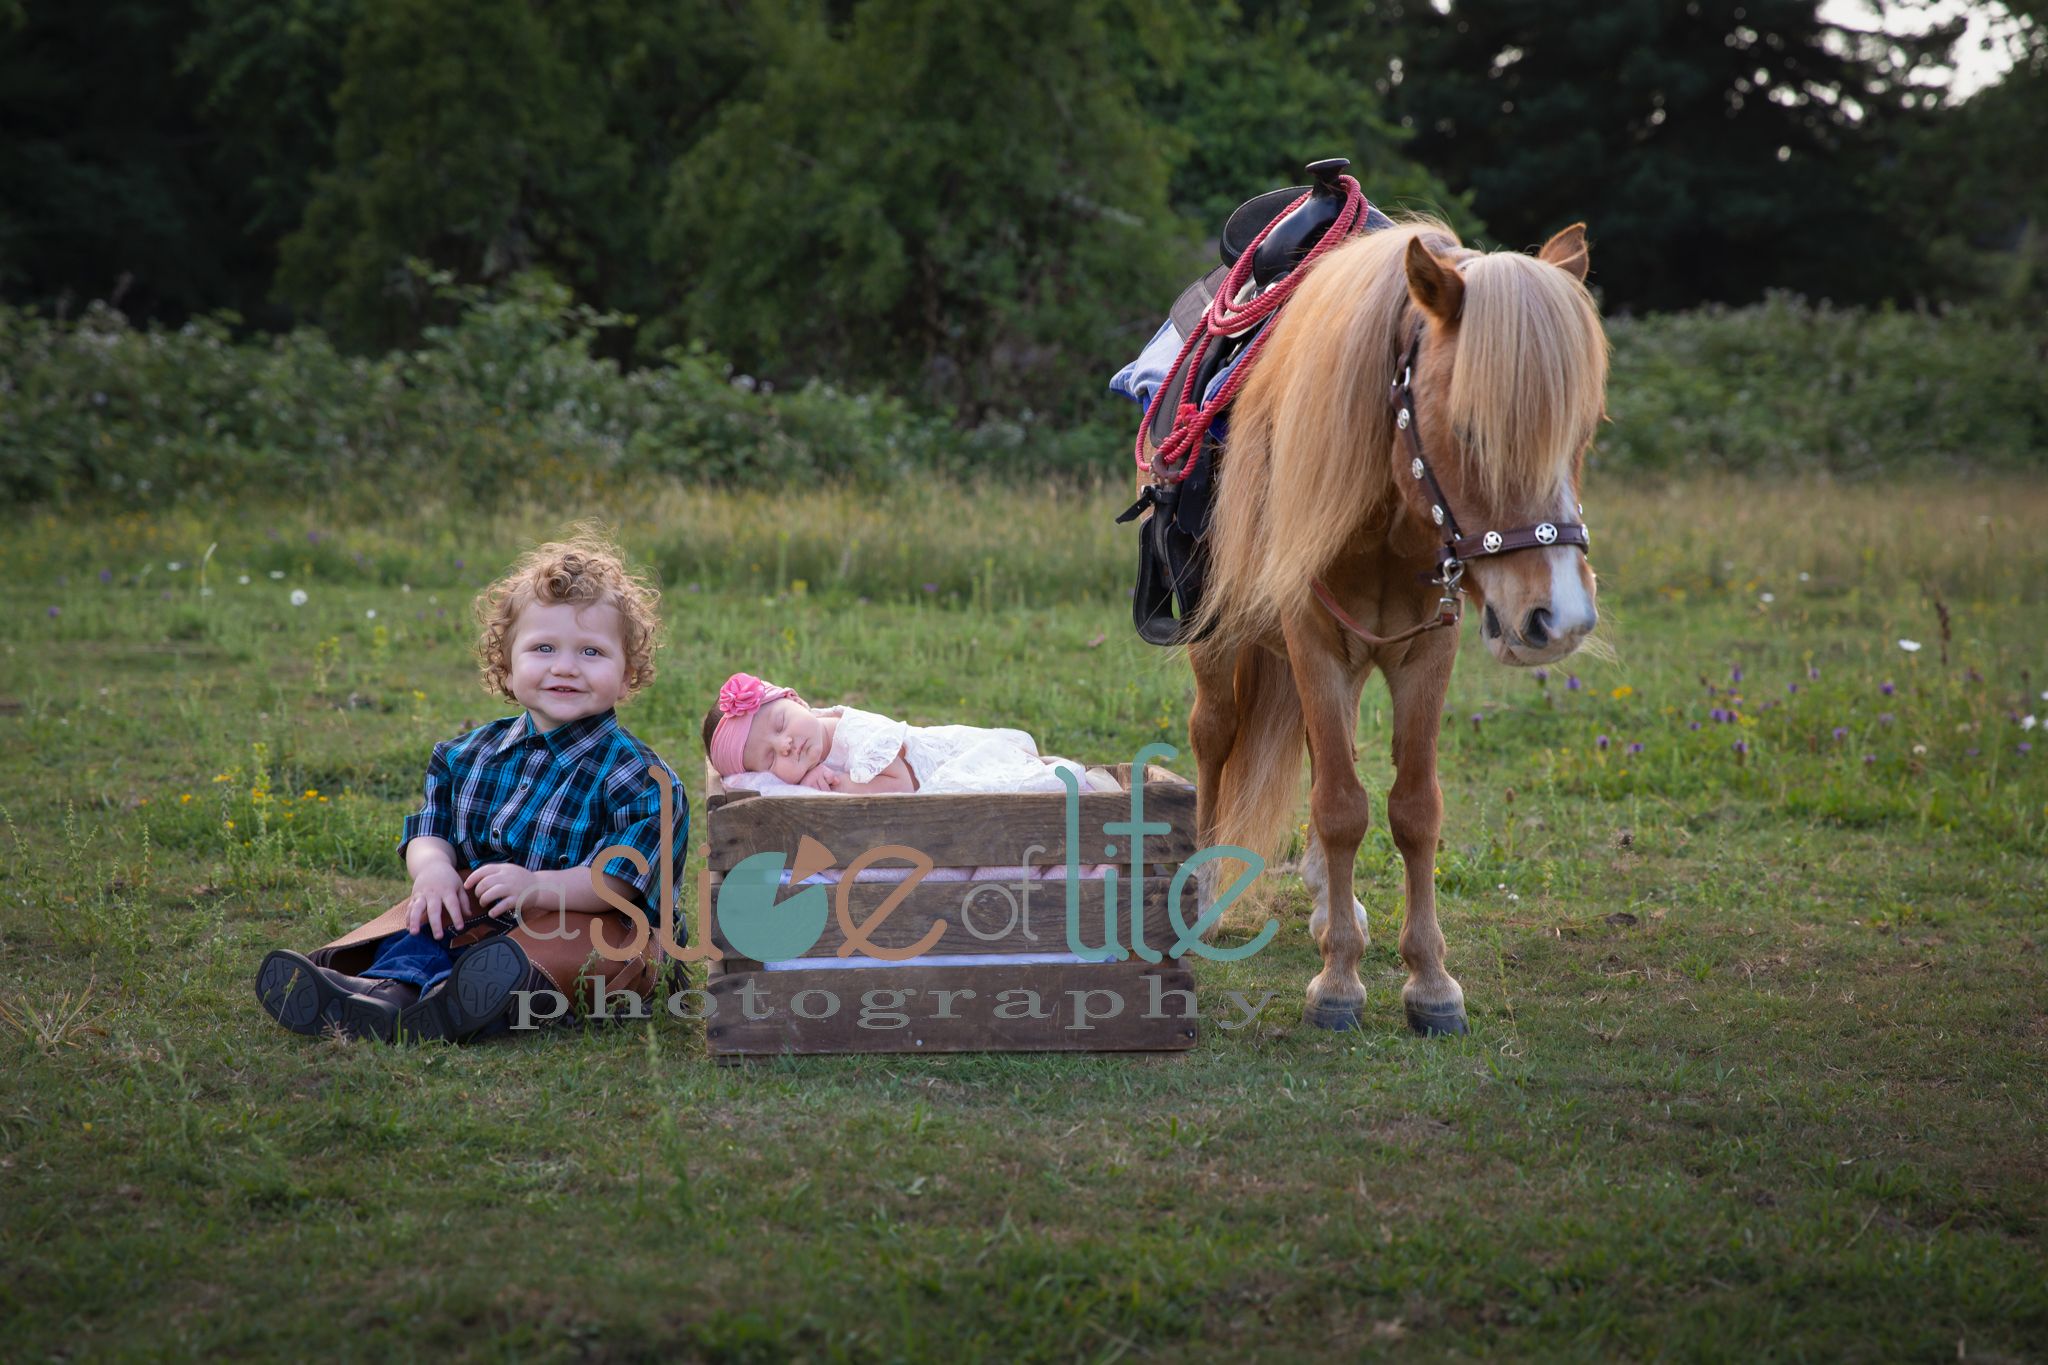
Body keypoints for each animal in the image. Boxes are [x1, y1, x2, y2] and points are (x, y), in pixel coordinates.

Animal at [1183, 215, 1607, 1035]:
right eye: (1471, 430)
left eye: (1582, 432)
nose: (1562, 619)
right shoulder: (1313, 641)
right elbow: (1341, 805)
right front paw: (1338, 984)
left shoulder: (1426, 653)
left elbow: (1412, 808)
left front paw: (1429, 982)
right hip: (1219, 643)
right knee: (1214, 737)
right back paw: (1210, 885)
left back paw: (1329, 904)